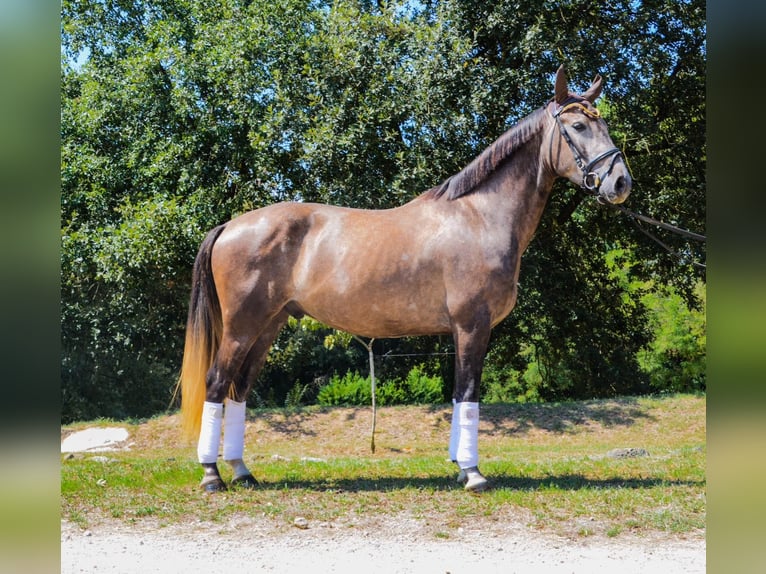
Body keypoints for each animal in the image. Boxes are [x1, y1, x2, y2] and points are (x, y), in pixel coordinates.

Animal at [177, 66, 631, 493]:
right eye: (578, 127)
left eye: (605, 123)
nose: (620, 182)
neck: (480, 217)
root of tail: (230, 226)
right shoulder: (472, 325)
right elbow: (469, 394)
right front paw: (474, 474)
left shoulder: (462, 331)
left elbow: (458, 395)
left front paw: (459, 468)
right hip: (242, 326)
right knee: (217, 383)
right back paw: (212, 475)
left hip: (268, 325)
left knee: (238, 389)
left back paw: (241, 471)